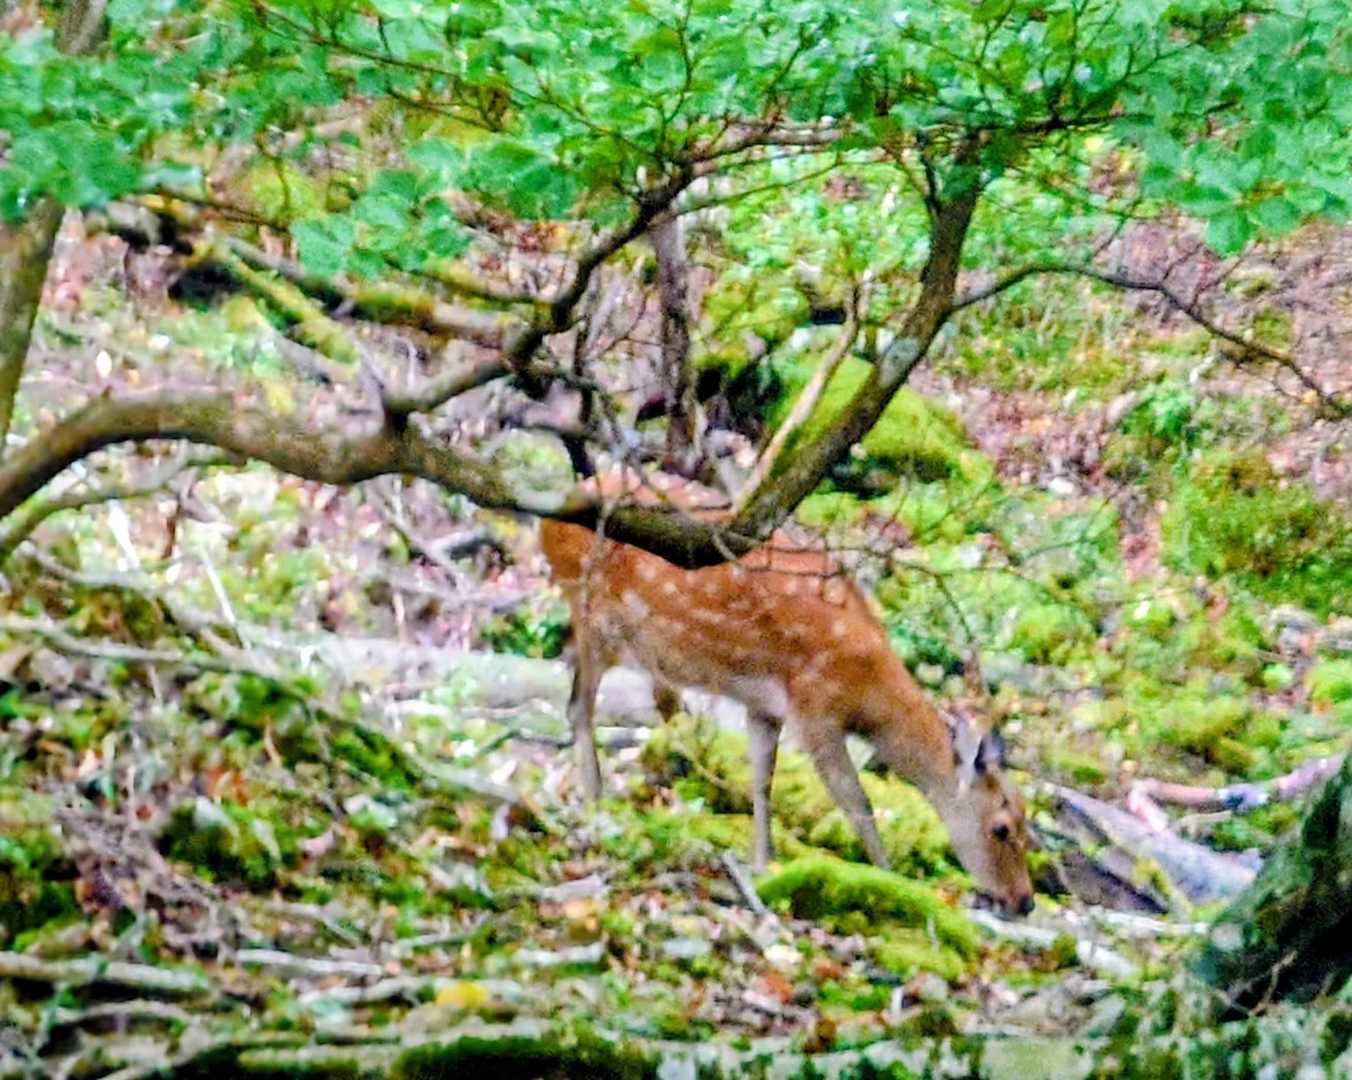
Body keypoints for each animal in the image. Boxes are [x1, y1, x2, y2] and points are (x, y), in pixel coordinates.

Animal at [539, 471, 1034, 916]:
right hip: (593, 614)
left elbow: (763, 780)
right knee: (578, 707)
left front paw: (763, 863)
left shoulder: (765, 706)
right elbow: (856, 801)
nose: (1024, 901)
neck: (866, 690)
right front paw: (889, 877)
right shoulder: (814, 707)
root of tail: (548, 518)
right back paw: (595, 804)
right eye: (1002, 827)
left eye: (1028, 819)